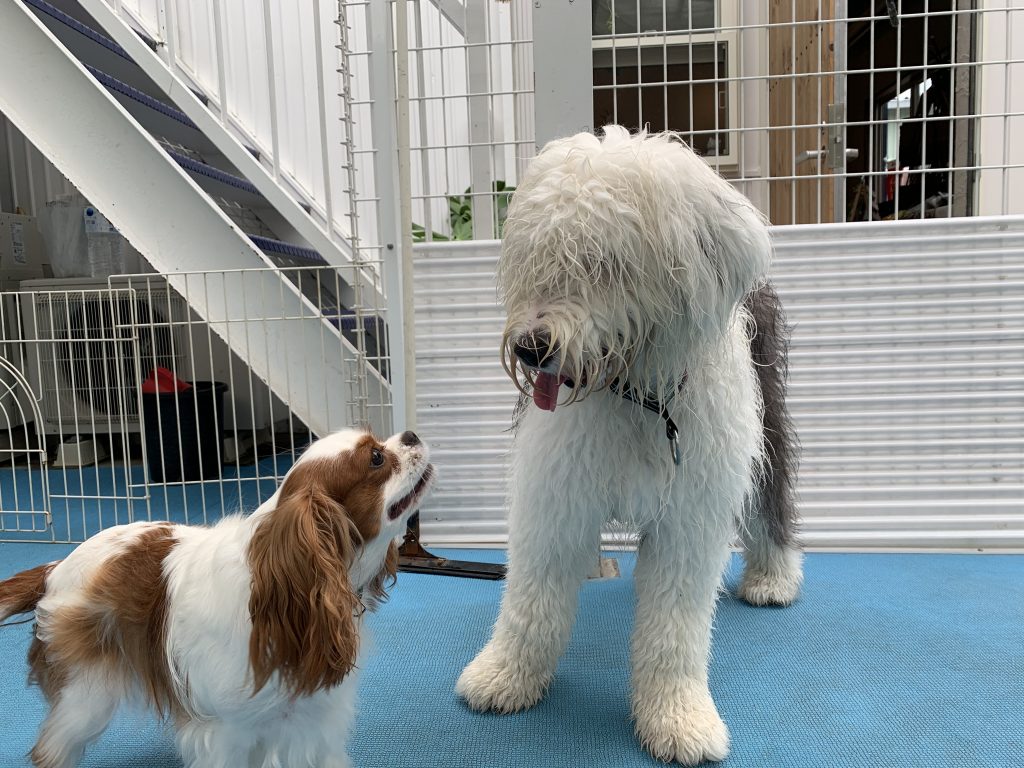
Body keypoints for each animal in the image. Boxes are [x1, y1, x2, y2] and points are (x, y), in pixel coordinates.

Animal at [0, 430, 428, 765]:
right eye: (376, 457)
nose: (411, 435)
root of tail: (55, 567)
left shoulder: (313, 724)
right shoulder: (226, 734)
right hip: (85, 698)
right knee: (51, 748)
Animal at [460, 126, 802, 765]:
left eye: (605, 263)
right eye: (540, 256)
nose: (530, 347)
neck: (636, 399)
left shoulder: (691, 510)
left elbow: (675, 626)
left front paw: (678, 719)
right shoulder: (556, 490)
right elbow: (531, 600)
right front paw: (502, 677)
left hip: (764, 422)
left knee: (771, 499)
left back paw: (774, 578)